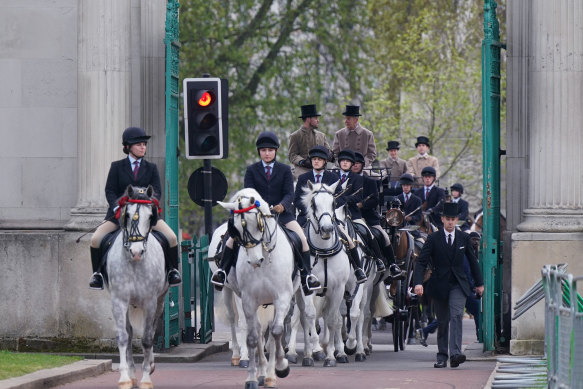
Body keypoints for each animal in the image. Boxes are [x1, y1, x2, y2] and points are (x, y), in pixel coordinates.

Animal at [106, 185, 169, 388]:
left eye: (150, 216)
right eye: (127, 214)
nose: (136, 252)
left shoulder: (150, 302)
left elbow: (147, 339)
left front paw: (146, 378)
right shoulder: (118, 301)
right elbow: (123, 337)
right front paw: (125, 378)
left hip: (160, 300)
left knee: (153, 328)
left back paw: (150, 365)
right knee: (130, 331)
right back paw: (133, 373)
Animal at [220, 189, 298, 388]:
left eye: (258, 223)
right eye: (235, 229)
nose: (255, 261)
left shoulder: (282, 298)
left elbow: (276, 332)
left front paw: (281, 367)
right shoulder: (248, 301)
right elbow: (253, 338)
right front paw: (252, 378)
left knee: (272, 334)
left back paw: (270, 375)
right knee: (260, 332)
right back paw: (263, 374)